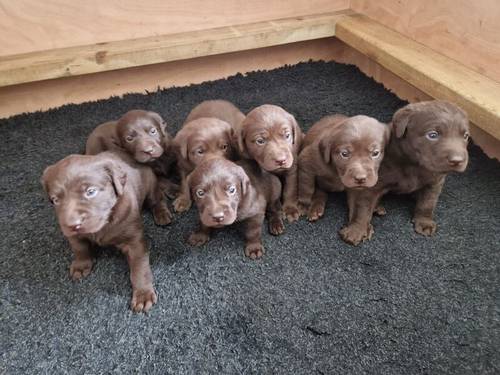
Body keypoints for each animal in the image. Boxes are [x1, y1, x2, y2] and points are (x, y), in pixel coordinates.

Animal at [41, 151, 170, 312]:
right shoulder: (74, 236)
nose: (72, 224)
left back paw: (162, 214)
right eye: (55, 200)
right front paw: (81, 265)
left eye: (91, 192)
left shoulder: (134, 241)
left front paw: (143, 294)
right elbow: (80, 248)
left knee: (157, 199)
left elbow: (139, 268)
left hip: (150, 185)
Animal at [340, 101, 468, 245]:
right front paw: (357, 229)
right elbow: (363, 208)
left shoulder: (434, 182)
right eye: (432, 135)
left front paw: (425, 222)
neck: (414, 164)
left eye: (465, 136)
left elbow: (428, 203)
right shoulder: (371, 185)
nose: (458, 160)